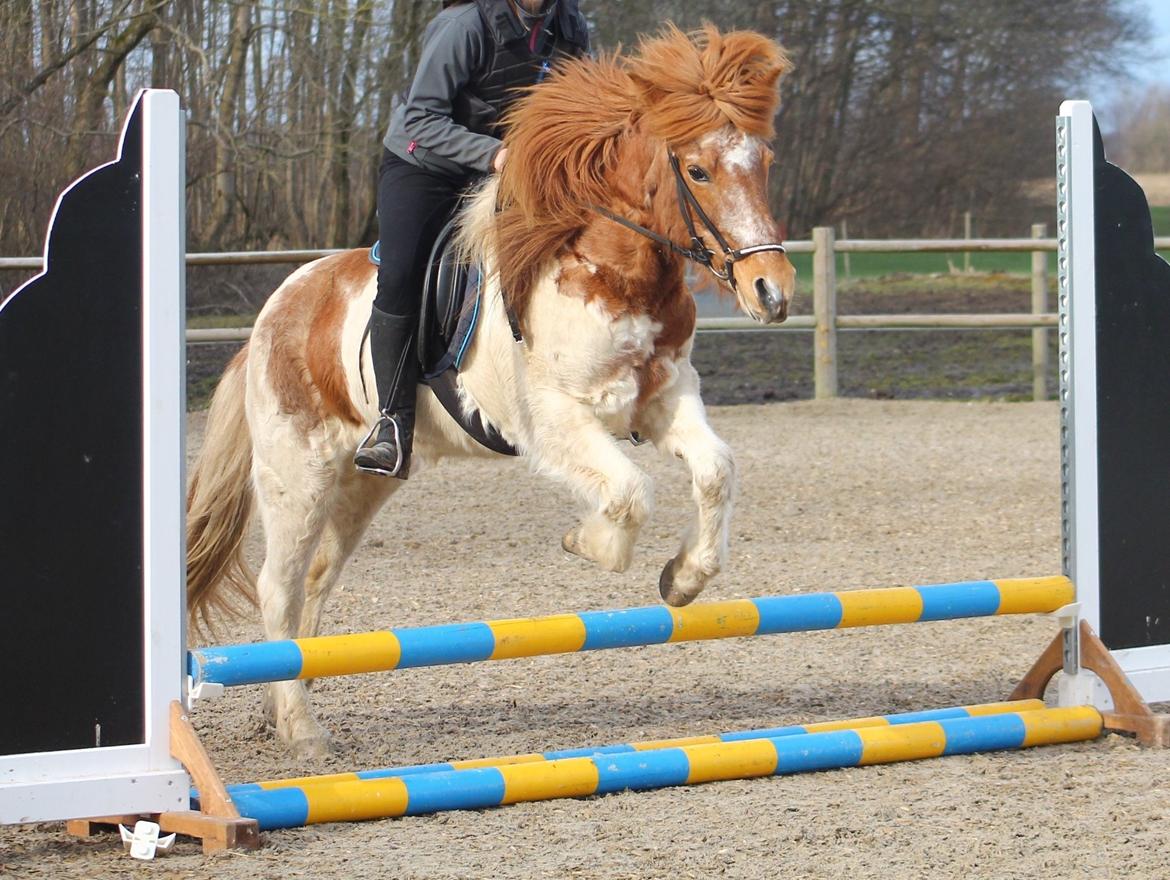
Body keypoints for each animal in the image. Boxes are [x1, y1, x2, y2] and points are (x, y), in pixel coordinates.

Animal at [189, 27, 795, 758]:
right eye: (699, 172)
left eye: (762, 161)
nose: (771, 292)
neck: (609, 269)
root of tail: (272, 317)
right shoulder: (556, 420)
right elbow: (628, 493)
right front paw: (586, 542)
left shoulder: (664, 396)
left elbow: (715, 470)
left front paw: (682, 578)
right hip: (295, 474)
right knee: (277, 588)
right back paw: (303, 731)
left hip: (364, 481)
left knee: (316, 579)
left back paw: (286, 705)